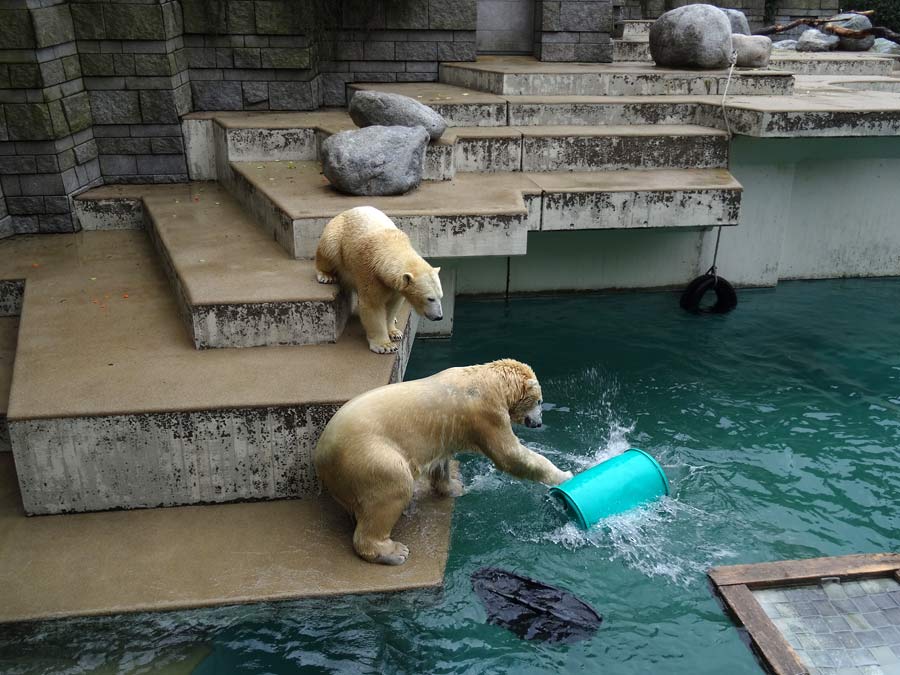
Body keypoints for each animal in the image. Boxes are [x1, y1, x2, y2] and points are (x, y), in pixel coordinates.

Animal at [312, 360, 572, 564]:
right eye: (539, 401)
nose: (538, 423)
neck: (489, 381)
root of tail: (321, 455)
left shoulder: (449, 430)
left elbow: (442, 461)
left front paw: (455, 487)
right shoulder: (487, 414)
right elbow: (510, 455)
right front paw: (564, 475)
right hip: (370, 456)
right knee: (392, 488)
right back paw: (393, 552)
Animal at [314, 206, 444, 354]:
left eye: (440, 296)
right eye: (430, 298)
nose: (439, 317)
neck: (388, 244)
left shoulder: (395, 286)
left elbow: (393, 305)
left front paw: (394, 333)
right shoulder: (370, 272)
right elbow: (373, 305)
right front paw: (385, 346)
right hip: (336, 237)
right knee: (329, 249)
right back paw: (326, 276)